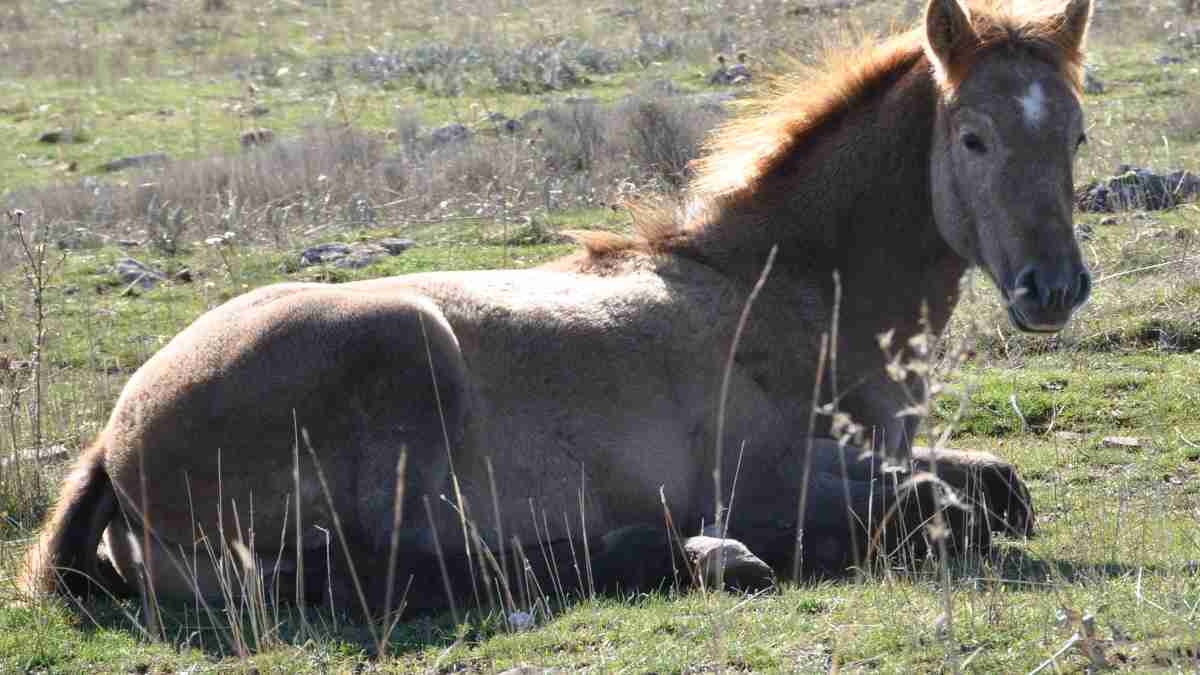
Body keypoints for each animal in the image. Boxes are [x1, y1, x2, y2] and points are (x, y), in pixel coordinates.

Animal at [23, 0, 1099, 612]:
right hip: (403, 348)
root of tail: (115, 442)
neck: (782, 289)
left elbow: (996, 485)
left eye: (1078, 134)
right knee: (386, 574)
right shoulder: (770, 473)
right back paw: (692, 552)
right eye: (973, 137)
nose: (1053, 288)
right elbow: (939, 509)